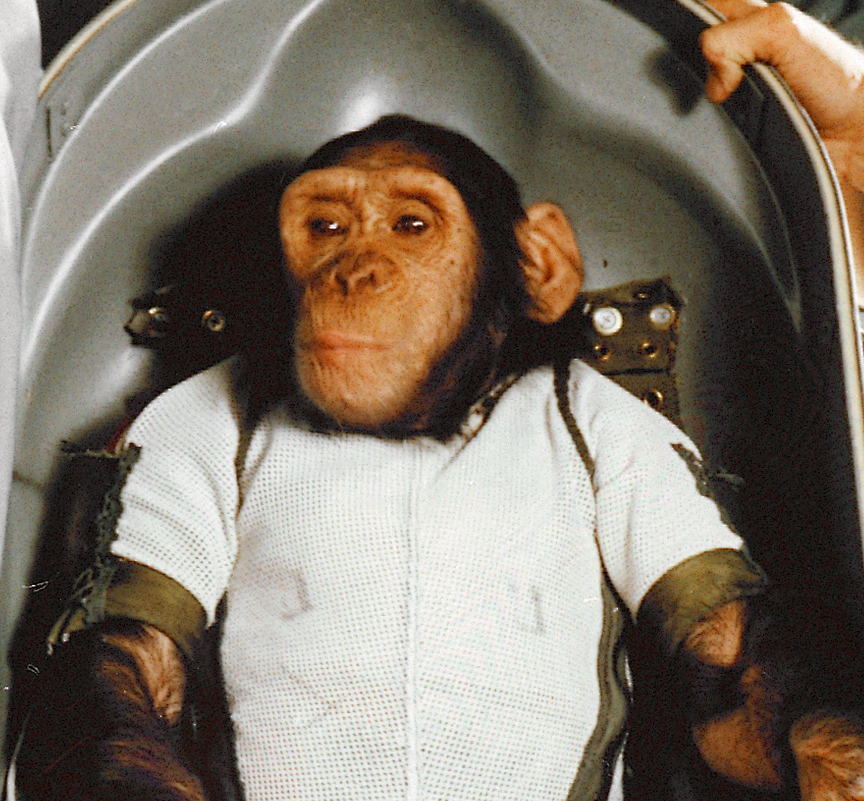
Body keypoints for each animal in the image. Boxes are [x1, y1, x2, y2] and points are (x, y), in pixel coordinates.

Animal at [11, 115, 864, 801]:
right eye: (326, 226)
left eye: (411, 224)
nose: (352, 272)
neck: (416, 431)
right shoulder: (168, 433)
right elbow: (130, 653)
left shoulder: (639, 439)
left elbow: (724, 643)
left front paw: (839, 760)